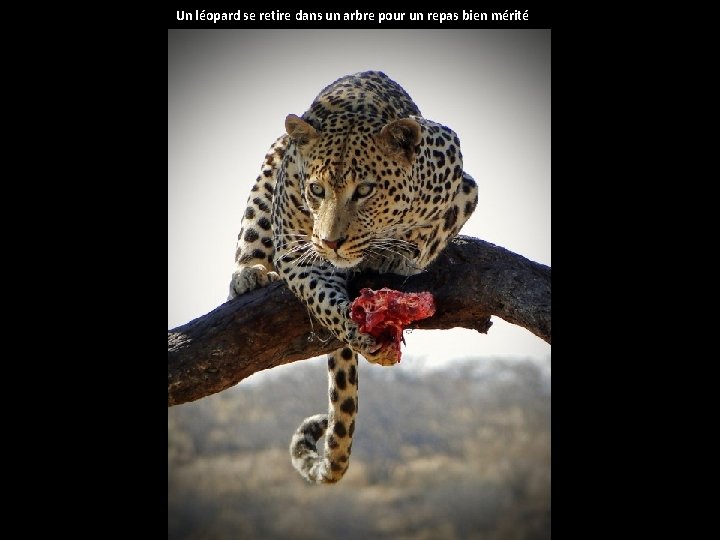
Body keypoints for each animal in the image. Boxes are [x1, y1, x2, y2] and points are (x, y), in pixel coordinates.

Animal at [229, 70, 478, 486]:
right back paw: (247, 274)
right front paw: (359, 333)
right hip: (269, 174)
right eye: (316, 189)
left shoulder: (463, 185)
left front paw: (398, 253)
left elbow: (432, 231)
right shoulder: (296, 252)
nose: (331, 242)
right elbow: (323, 299)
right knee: (253, 229)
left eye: (364, 190)